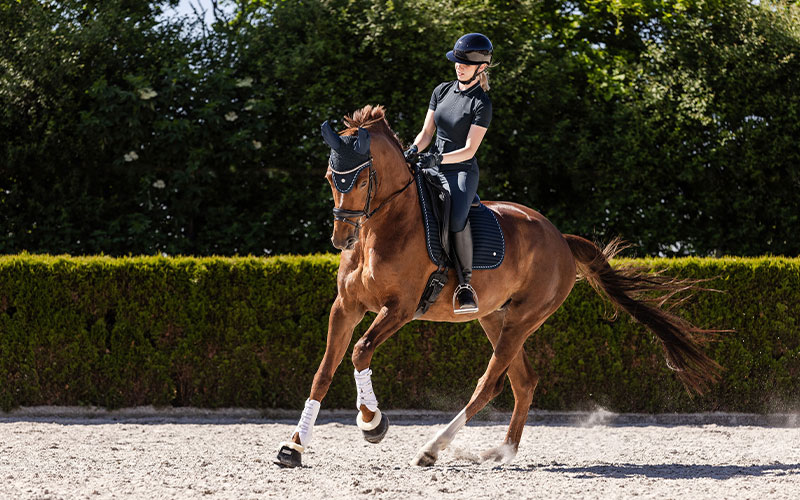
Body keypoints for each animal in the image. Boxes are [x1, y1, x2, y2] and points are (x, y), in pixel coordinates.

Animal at [274, 104, 720, 468]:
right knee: (523, 382)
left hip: (522, 320)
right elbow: (324, 372)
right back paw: (502, 451)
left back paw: (433, 448)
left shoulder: (399, 308)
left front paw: (372, 423)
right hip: (495, 317)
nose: (341, 239)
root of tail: (560, 238)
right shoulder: (345, 307)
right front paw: (293, 447)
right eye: (330, 177)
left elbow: (360, 352)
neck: (382, 229)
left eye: (363, 179)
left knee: (490, 384)